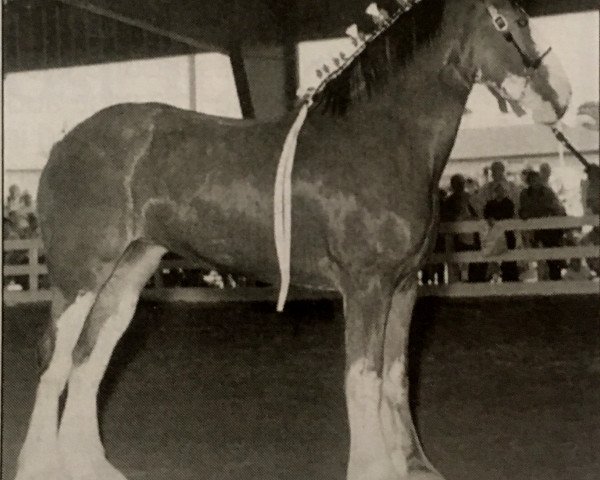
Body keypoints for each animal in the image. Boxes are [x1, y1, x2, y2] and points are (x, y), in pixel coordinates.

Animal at [16, 0, 572, 480]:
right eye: (512, 21)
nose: (561, 98)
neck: (380, 140)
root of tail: (65, 143)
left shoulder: (405, 286)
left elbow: (395, 377)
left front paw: (412, 466)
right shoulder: (366, 287)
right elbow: (363, 379)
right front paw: (372, 469)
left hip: (127, 274)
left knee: (90, 358)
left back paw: (90, 466)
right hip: (81, 275)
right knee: (56, 359)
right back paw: (39, 465)